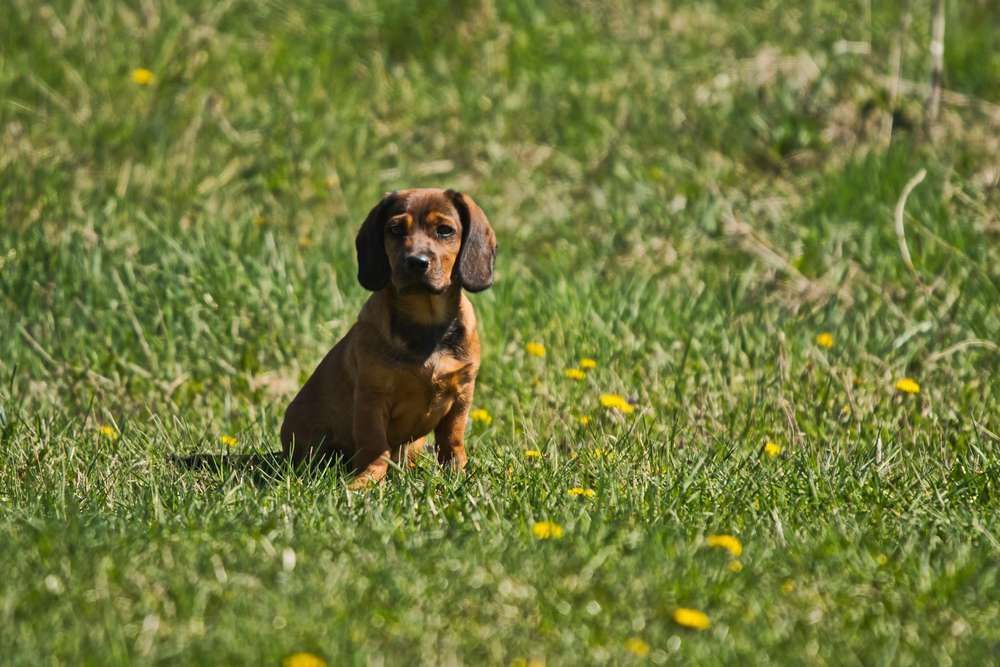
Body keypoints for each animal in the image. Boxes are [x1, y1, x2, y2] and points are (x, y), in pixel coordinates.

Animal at [280, 189, 498, 490]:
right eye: (395, 229)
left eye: (445, 230)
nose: (416, 262)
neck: (425, 320)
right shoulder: (372, 397)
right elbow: (375, 446)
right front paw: (367, 480)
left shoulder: (462, 393)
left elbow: (452, 441)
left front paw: (458, 475)